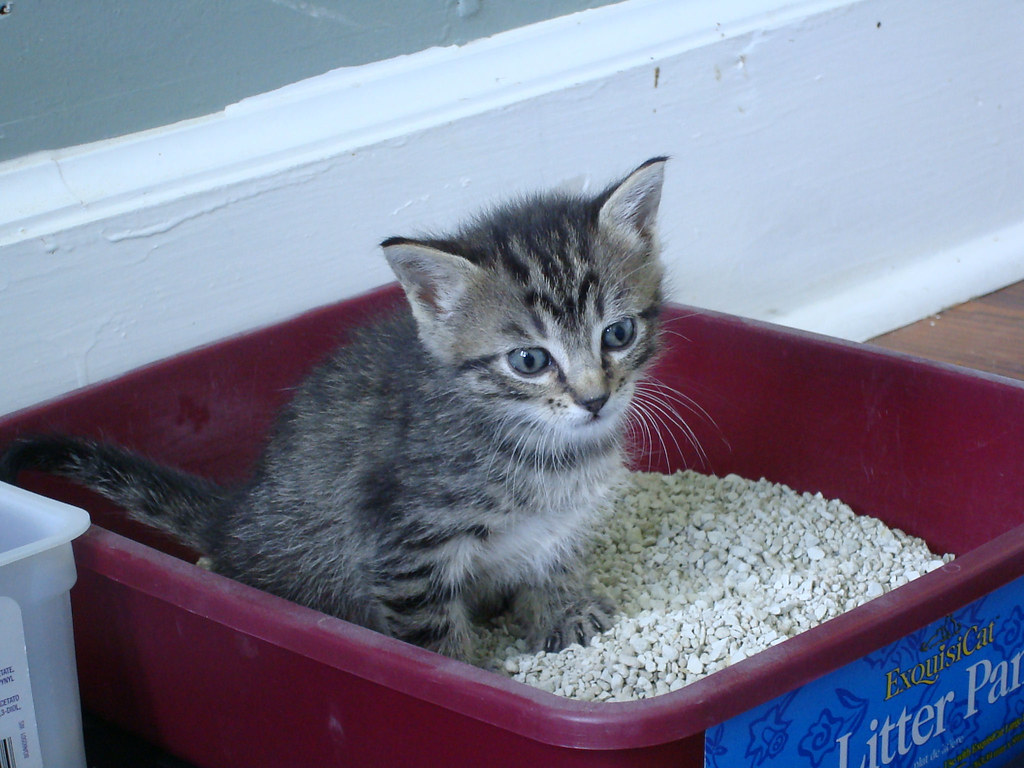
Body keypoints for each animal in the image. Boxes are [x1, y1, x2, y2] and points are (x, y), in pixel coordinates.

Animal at [0, 157, 667, 663]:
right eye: (529, 360)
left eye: (618, 334)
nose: (594, 399)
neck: (546, 447)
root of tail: (233, 520)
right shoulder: (405, 547)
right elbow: (435, 640)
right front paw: (477, 678)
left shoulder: (559, 524)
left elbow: (551, 564)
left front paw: (562, 610)